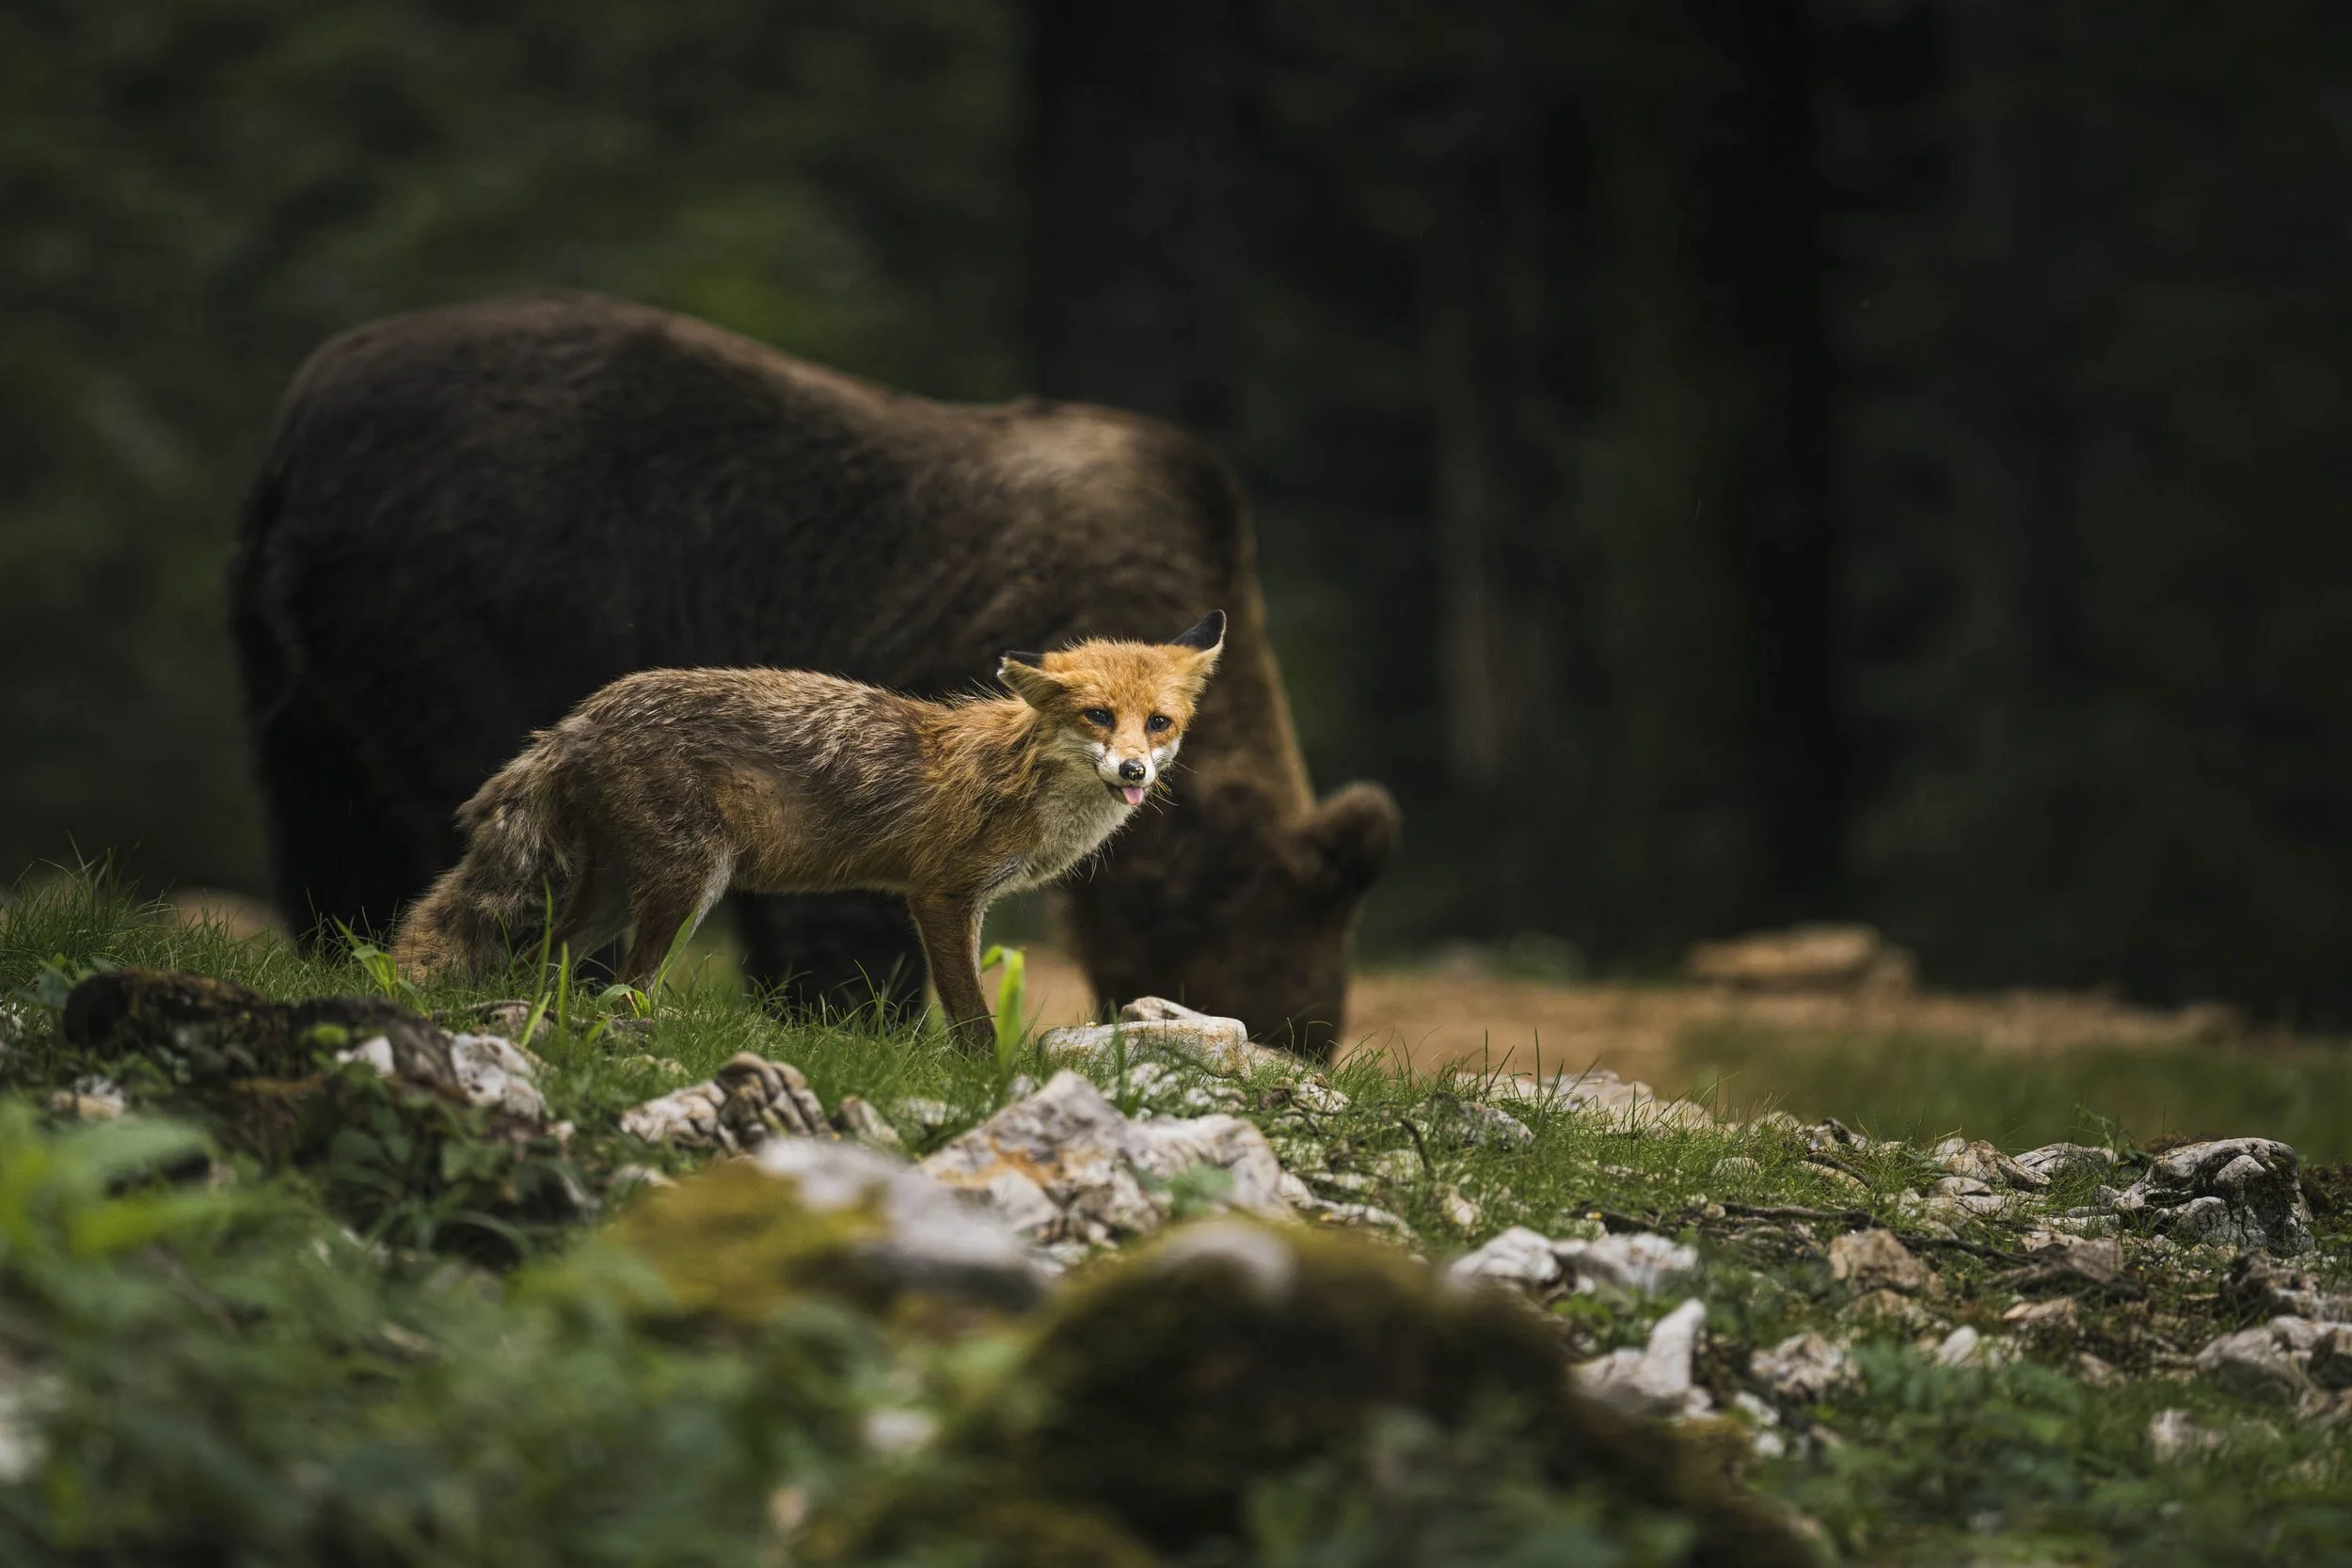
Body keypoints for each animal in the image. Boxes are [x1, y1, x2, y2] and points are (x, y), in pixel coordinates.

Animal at [390, 613, 1226, 1050]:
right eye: (1097, 715)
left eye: (1158, 723)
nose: (1132, 769)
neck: (1025, 780)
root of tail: (579, 716)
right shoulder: (941, 896)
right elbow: (974, 1021)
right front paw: (990, 1083)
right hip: (688, 885)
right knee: (623, 987)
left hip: (617, 896)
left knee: (542, 964)